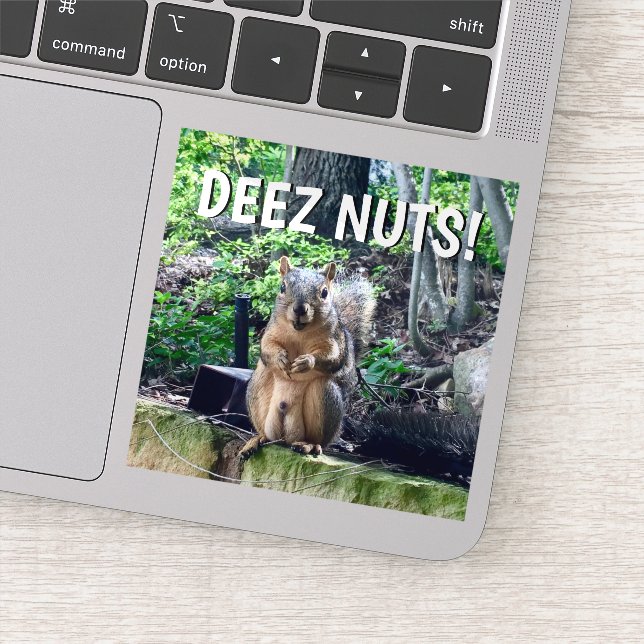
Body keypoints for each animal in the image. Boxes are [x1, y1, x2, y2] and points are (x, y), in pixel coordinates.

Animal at [240, 256, 375, 459]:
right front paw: (280, 358)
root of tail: (286, 437)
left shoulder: (335, 341)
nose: (299, 309)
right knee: (267, 434)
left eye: (325, 292)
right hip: (258, 386)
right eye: (282, 287)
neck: (299, 333)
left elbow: (332, 358)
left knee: (317, 438)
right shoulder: (270, 332)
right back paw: (257, 439)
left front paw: (306, 362)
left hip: (324, 398)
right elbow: (267, 348)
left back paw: (309, 445)